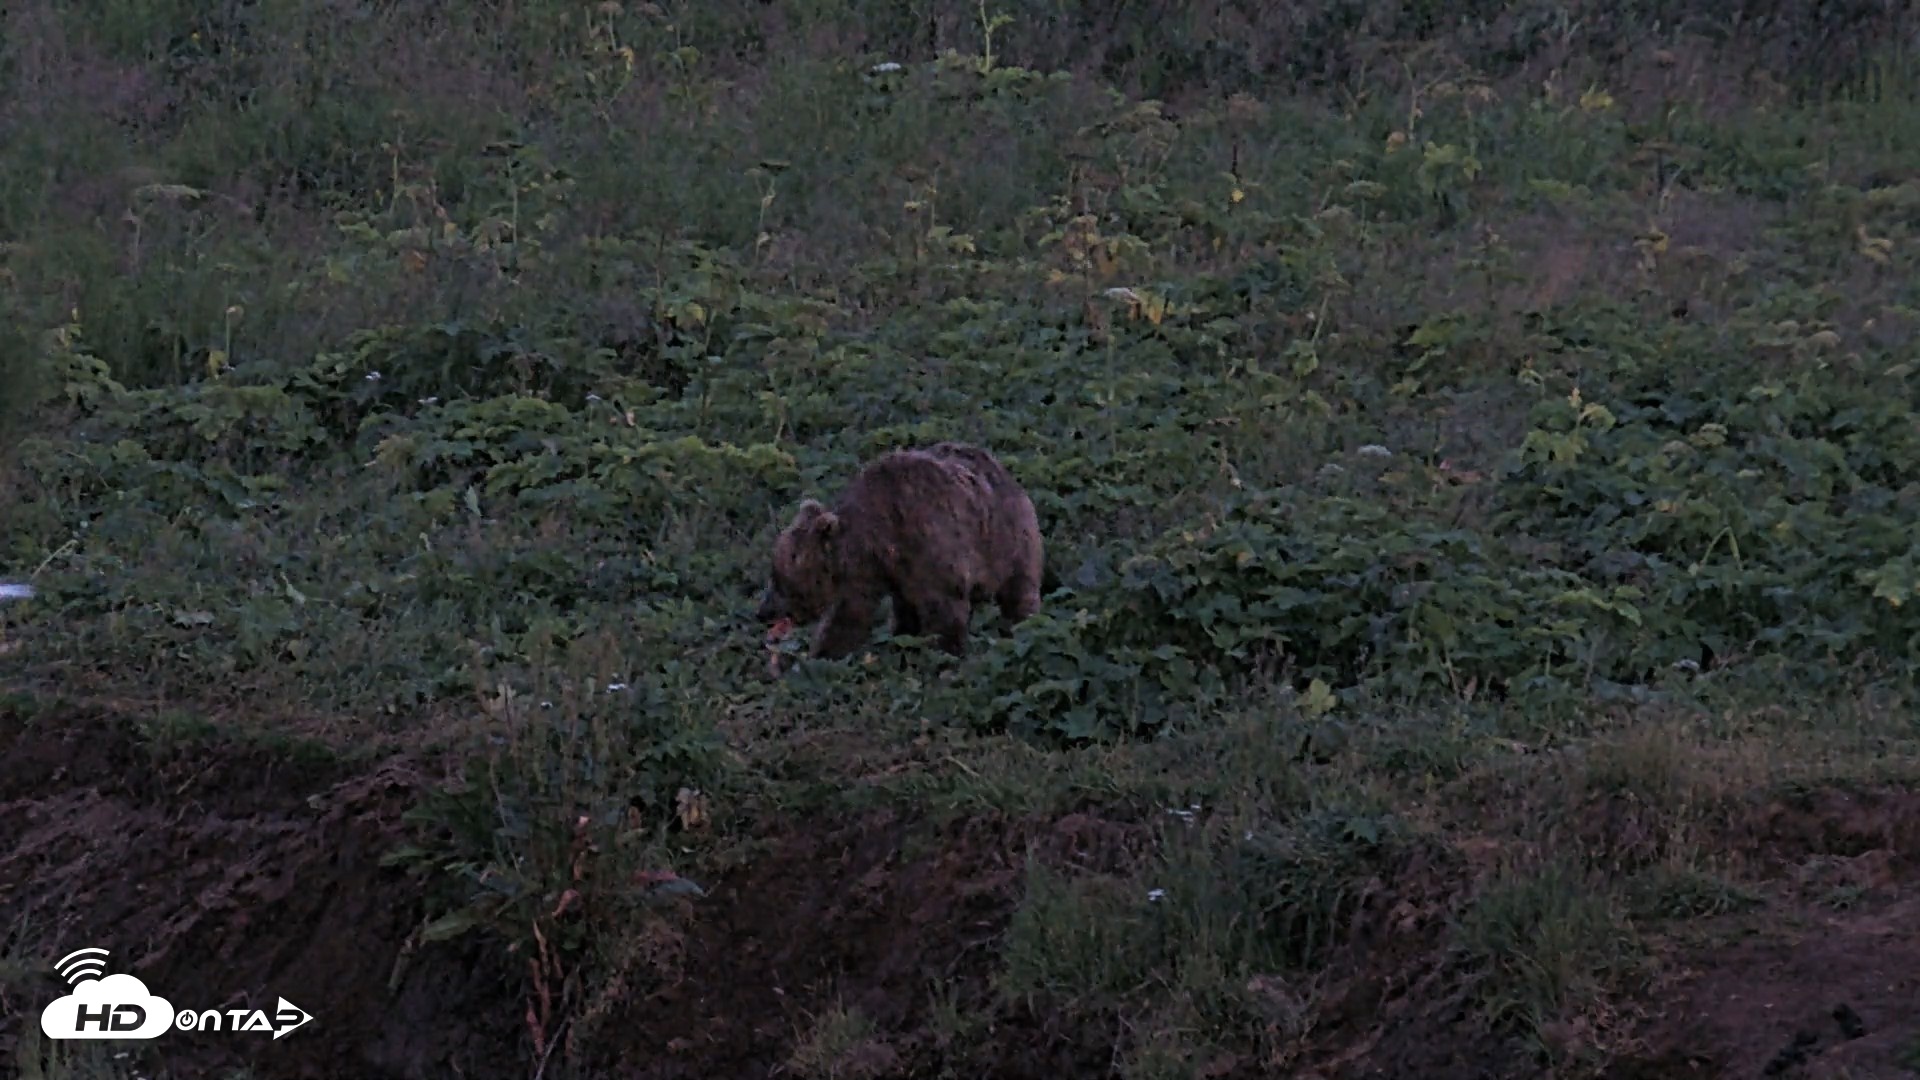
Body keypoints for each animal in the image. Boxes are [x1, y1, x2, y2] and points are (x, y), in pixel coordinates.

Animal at [756, 441, 1044, 663]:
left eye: (780, 578)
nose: (763, 612)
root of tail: (1001, 467)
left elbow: (946, 609)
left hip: (1008, 540)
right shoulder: (868, 577)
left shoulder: (932, 546)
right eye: (774, 572)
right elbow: (849, 618)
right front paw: (822, 655)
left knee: (1018, 591)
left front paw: (946, 654)